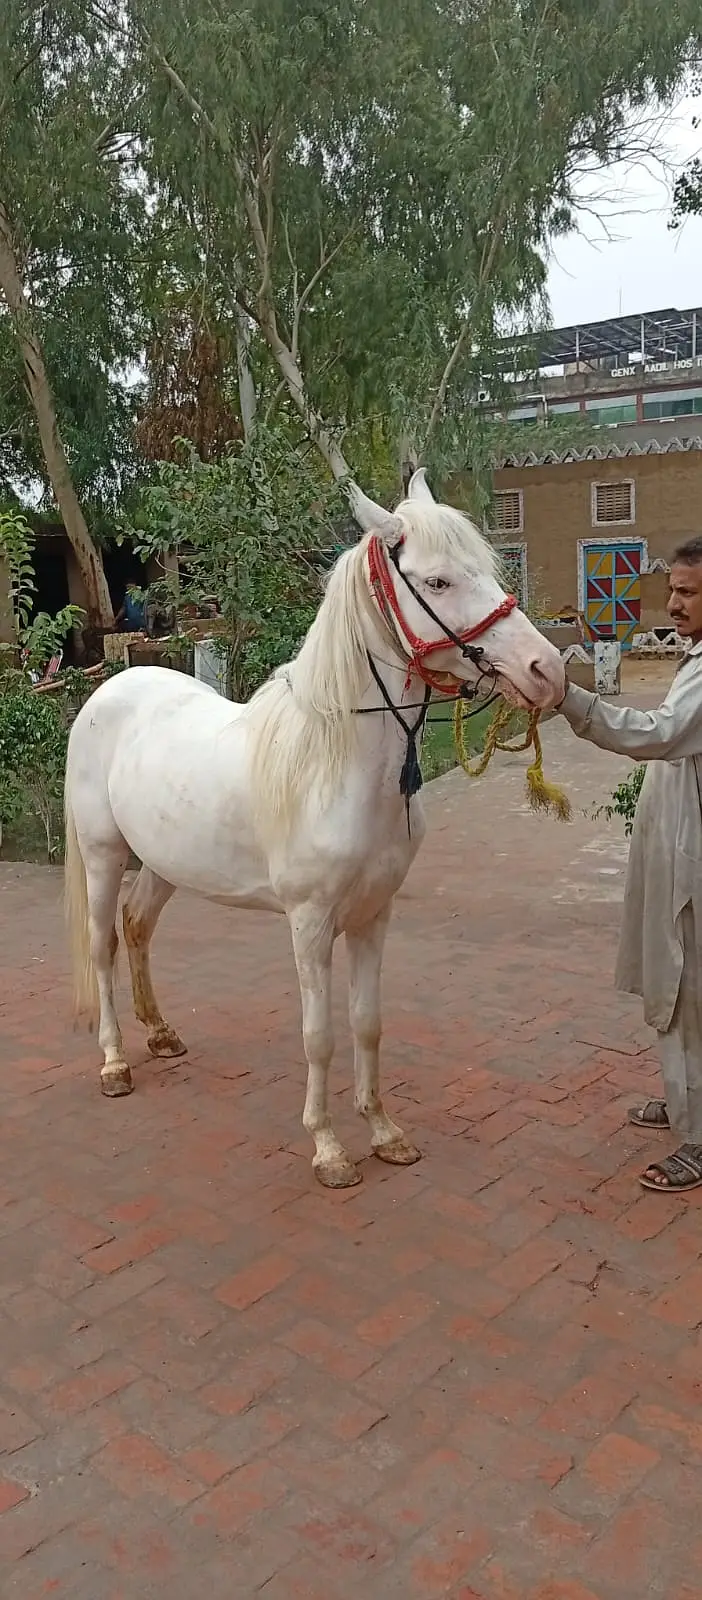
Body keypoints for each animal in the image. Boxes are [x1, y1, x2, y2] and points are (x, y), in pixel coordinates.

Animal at [64, 470, 564, 1188]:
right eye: (438, 581)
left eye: (488, 567)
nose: (546, 670)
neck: (340, 761)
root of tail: (106, 692)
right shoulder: (310, 922)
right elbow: (319, 1035)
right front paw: (328, 1148)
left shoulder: (373, 915)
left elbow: (366, 1023)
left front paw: (383, 1130)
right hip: (104, 855)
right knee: (102, 945)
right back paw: (114, 1062)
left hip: (162, 864)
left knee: (137, 929)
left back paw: (160, 1034)